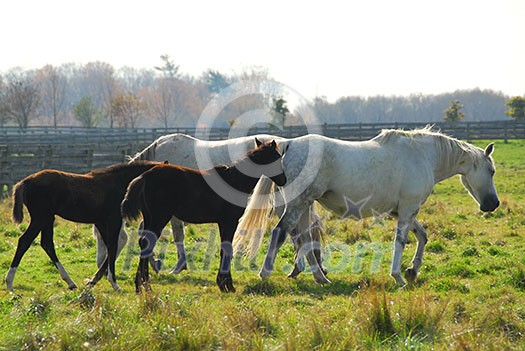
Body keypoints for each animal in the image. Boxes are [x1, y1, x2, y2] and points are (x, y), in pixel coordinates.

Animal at [5, 162, 162, 292]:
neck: (119, 182)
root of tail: (25, 182)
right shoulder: (113, 221)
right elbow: (112, 246)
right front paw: (114, 283)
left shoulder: (101, 222)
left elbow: (111, 247)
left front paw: (98, 279)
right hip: (40, 218)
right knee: (25, 241)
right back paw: (9, 282)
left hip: (47, 219)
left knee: (47, 243)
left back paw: (70, 282)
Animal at [96, 133, 322, 276]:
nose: (101, 265)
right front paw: (158, 264)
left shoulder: (172, 213)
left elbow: (176, 235)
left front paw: (175, 265)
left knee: (296, 232)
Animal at [122, 139, 286, 292]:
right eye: (277, 158)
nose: (283, 180)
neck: (234, 180)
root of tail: (144, 177)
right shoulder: (229, 221)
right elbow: (227, 248)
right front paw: (227, 285)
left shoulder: (224, 222)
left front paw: (223, 283)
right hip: (159, 218)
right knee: (147, 243)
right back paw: (145, 285)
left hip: (150, 218)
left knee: (144, 243)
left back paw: (141, 284)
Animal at [234, 128, 500, 288]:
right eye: (491, 170)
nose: (493, 204)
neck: (423, 156)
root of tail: (288, 144)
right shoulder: (407, 209)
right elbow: (401, 241)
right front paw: (399, 276)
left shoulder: (402, 210)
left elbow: (422, 236)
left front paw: (412, 270)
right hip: (299, 204)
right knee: (281, 233)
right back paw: (266, 274)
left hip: (303, 205)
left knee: (304, 238)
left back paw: (319, 277)